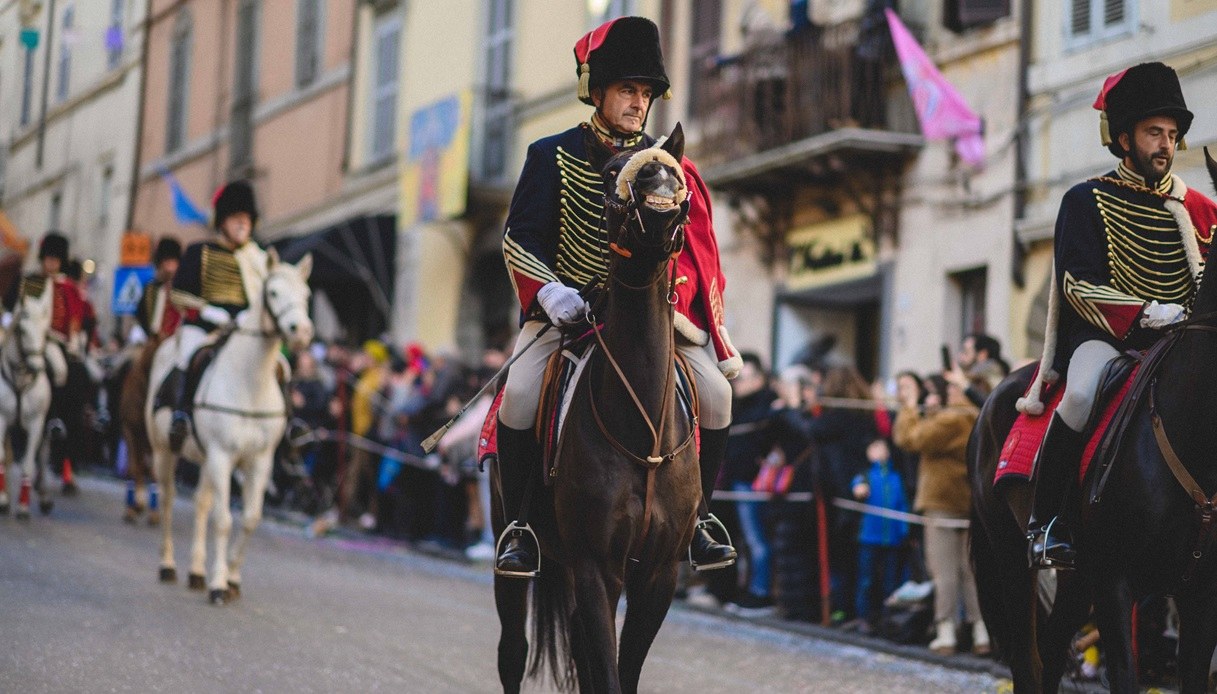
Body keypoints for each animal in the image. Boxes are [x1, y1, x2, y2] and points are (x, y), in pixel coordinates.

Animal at [146, 249, 313, 599]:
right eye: (273, 292)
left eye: (306, 295)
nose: (301, 332)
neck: (250, 384)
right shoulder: (222, 455)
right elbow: (223, 520)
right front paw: (219, 584)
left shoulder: (258, 461)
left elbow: (249, 518)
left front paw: (232, 577)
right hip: (165, 450)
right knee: (167, 500)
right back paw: (168, 565)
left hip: (205, 460)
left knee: (200, 504)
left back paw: (197, 571)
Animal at [491, 125, 700, 691]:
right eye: (611, 174)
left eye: (675, 169)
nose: (658, 193)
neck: (642, 430)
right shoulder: (596, 566)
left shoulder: (658, 573)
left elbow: (619, 673)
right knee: (513, 651)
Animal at [973, 148, 1217, 686]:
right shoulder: (1115, 581)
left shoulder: (1200, 593)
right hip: (1012, 556)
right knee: (1029, 661)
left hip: (1075, 580)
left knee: (1050, 653)